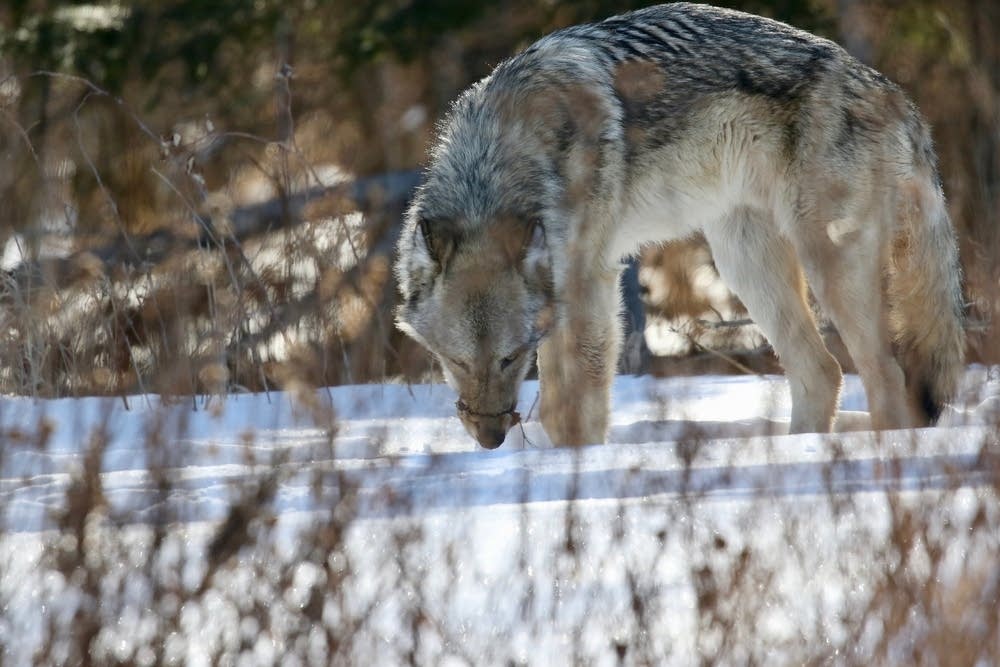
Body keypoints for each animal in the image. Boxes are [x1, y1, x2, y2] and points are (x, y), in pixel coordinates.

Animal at [395, 2, 965, 449]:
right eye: (456, 361)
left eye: (511, 358)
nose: (491, 439)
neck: (502, 156)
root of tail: (896, 95)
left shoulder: (589, 285)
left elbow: (571, 409)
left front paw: (575, 467)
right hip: (745, 264)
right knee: (823, 373)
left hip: (828, 268)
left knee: (888, 379)